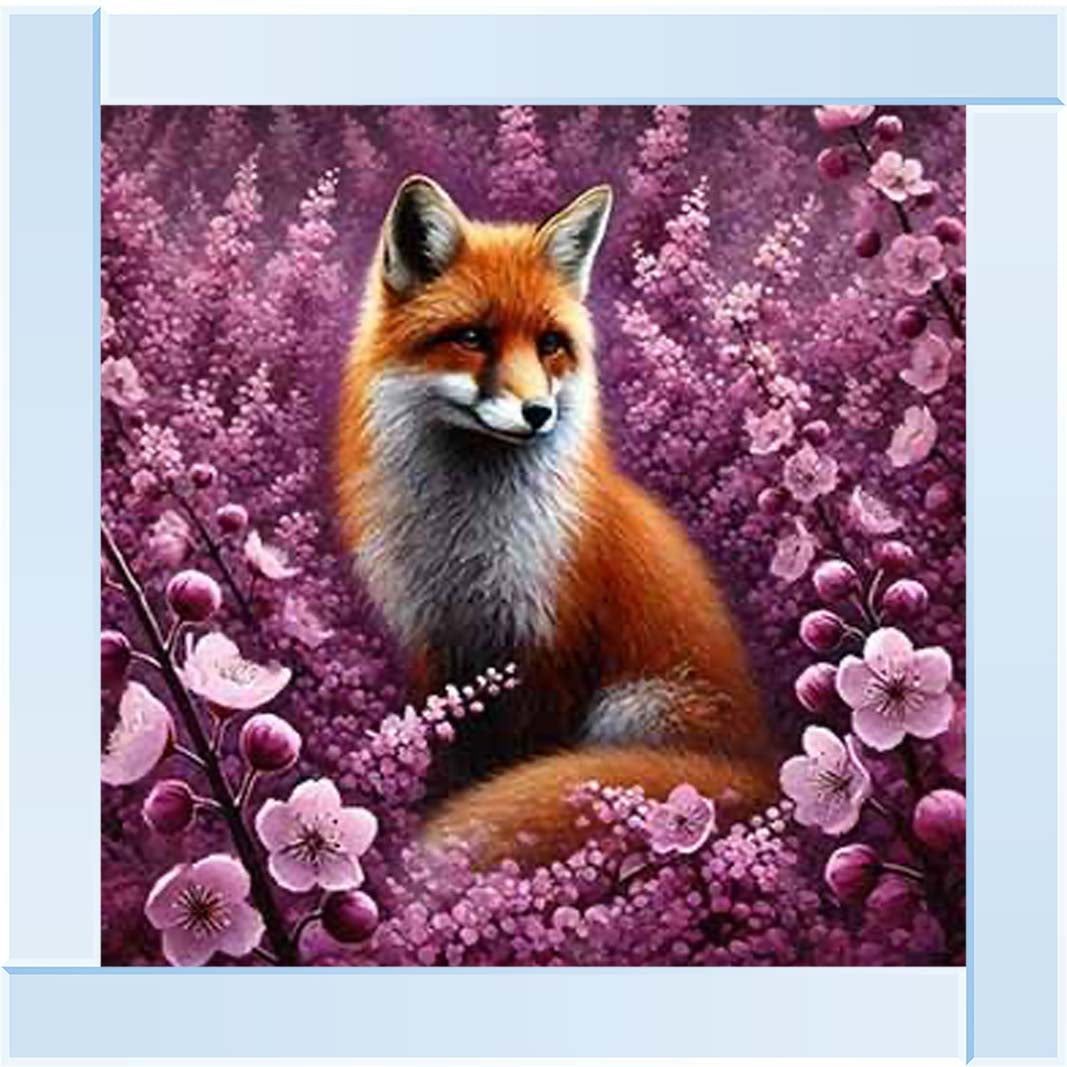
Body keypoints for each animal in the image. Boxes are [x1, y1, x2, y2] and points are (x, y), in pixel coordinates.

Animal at [337, 175, 777, 866]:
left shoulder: (553, 648)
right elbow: (445, 754)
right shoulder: (437, 645)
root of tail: (766, 768)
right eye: (473, 338)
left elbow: (523, 762)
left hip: (631, 709)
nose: (537, 413)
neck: (466, 540)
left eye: (549, 345)